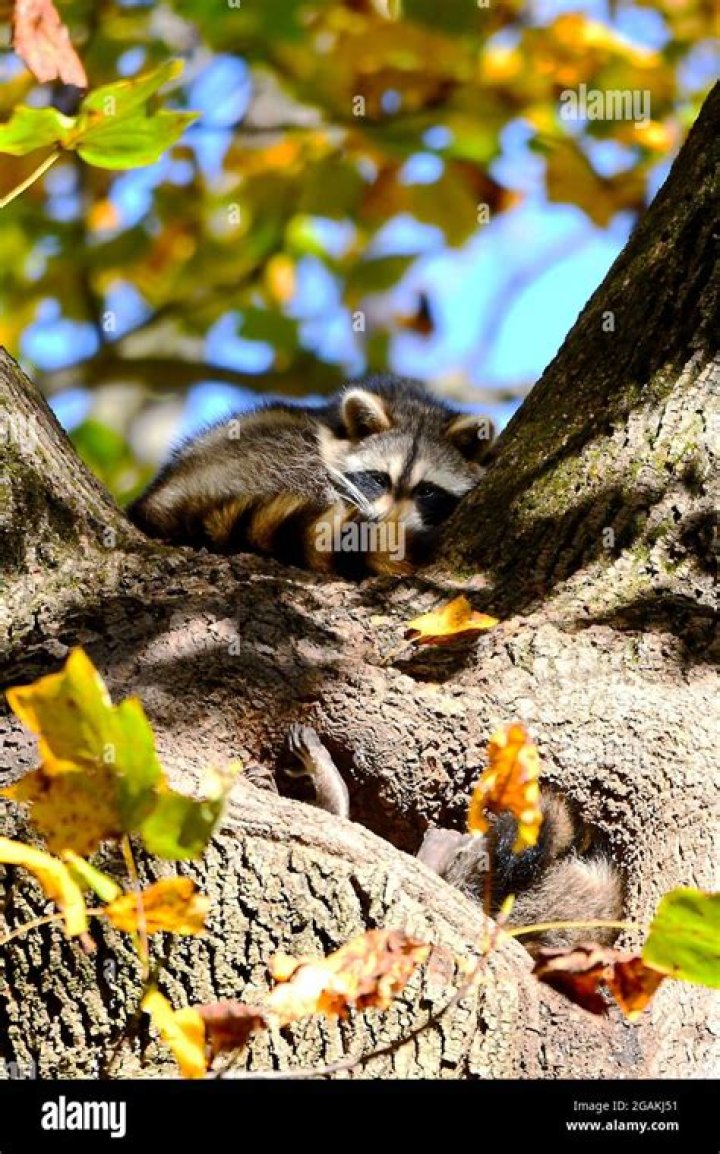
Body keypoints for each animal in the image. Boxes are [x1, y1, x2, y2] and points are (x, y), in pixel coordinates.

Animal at [128, 375, 495, 578]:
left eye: (427, 492)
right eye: (379, 480)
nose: (384, 523)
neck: (416, 405)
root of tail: (162, 494)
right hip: (252, 457)